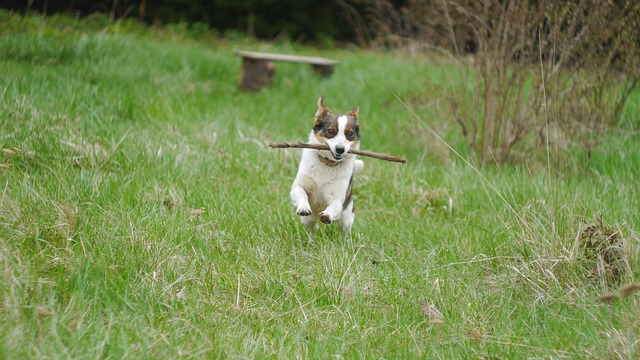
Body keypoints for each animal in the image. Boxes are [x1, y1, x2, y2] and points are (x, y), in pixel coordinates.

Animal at [292, 97, 364, 235]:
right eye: (331, 131)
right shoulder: (298, 187)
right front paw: (303, 207)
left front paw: (327, 215)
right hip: (308, 221)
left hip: (346, 218)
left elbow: (335, 206)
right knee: (312, 228)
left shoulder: (336, 198)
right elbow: (301, 193)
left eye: (349, 133)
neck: (327, 164)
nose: (340, 149)